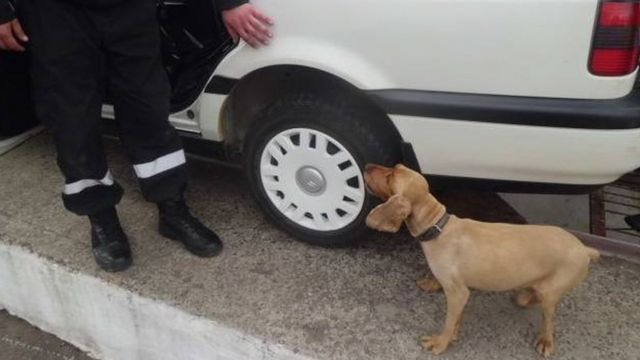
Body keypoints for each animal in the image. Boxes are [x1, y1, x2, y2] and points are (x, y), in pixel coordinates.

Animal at [364, 164, 600, 358]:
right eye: (394, 167)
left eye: (390, 176)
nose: (366, 166)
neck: (438, 226)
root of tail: (584, 249)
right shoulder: (461, 294)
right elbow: (457, 319)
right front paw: (453, 333)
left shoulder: (458, 293)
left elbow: (448, 322)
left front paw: (440, 343)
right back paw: (525, 294)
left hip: (550, 292)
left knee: (549, 317)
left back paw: (546, 341)